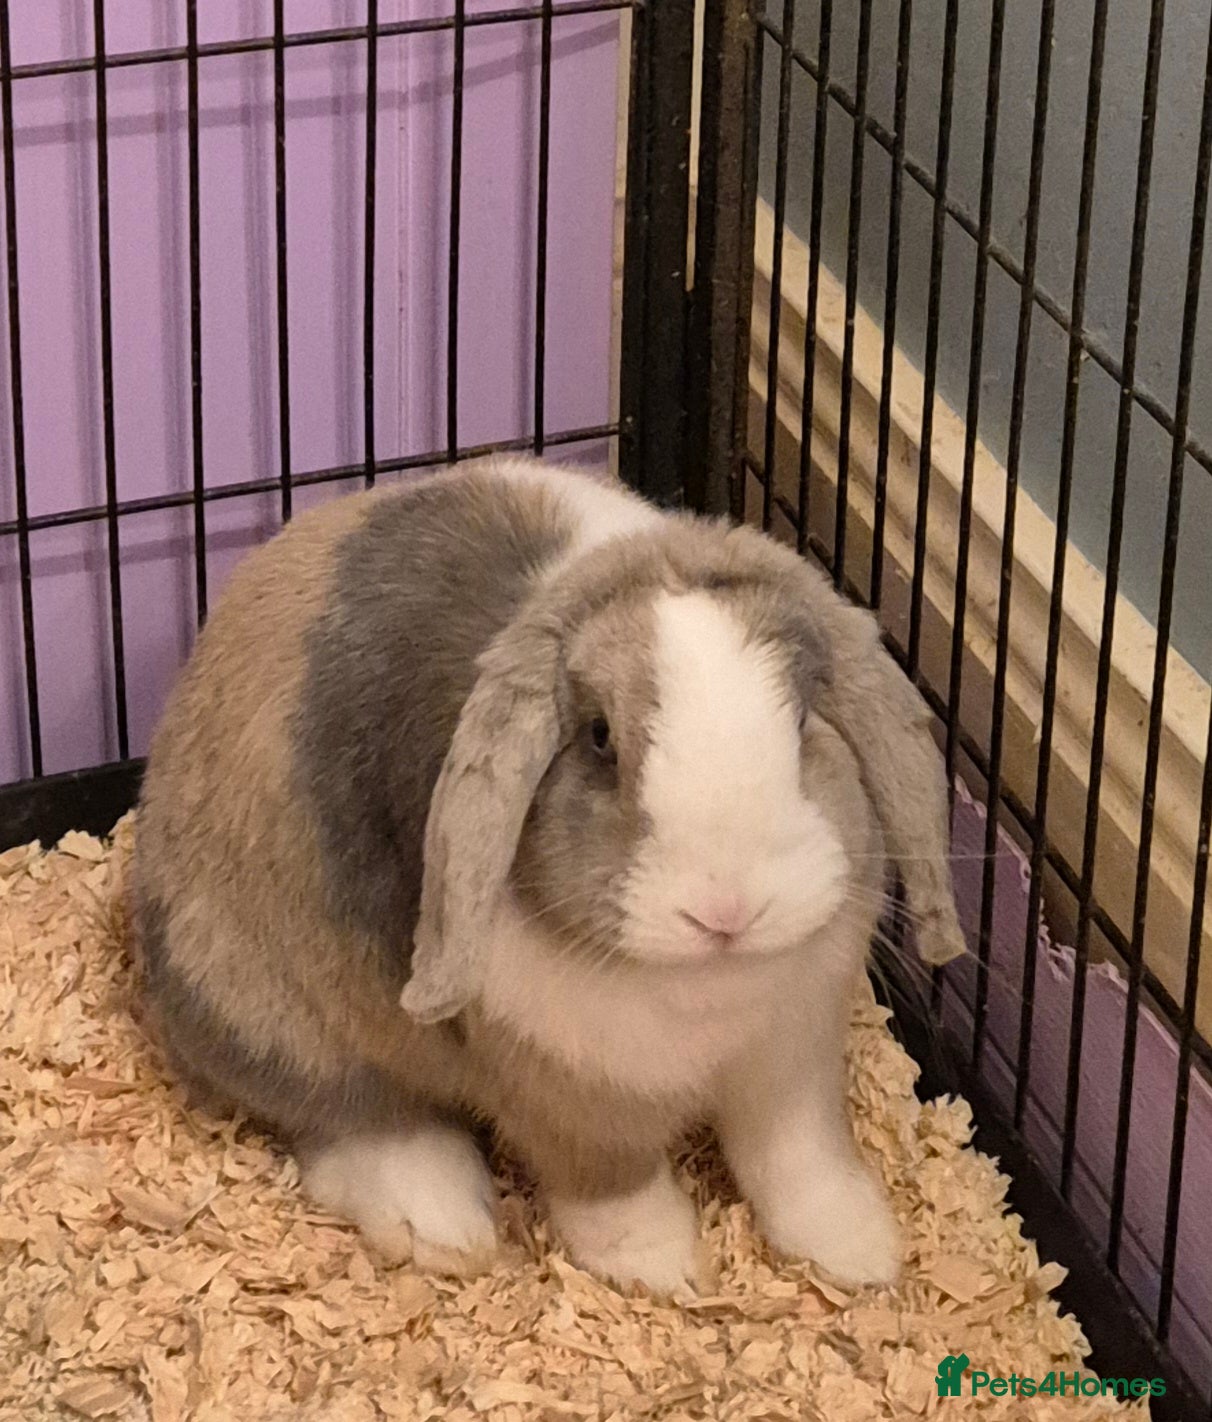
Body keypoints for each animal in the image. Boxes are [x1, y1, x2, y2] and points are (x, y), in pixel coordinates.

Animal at [131, 454, 964, 1296]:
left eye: (800, 724)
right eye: (598, 737)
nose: (727, 910)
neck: (707, 986)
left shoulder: (792, 1058)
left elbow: (800, 1158)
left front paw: (861, 1253)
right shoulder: (569, 1095)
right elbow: (613, 1185)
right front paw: (663, 1269)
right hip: (275, 1021)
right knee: (350, 1118)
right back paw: (442, 1225)